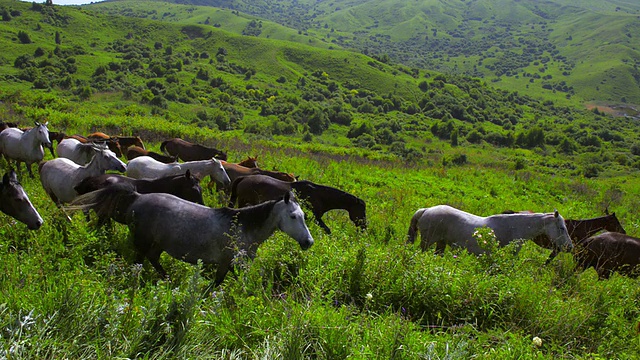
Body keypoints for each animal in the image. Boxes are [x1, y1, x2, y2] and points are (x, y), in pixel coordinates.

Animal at [67, 186, 312, 284]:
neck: (243, 228)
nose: (308, 242)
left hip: (158, 244)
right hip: (142, 241)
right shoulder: (226, 262)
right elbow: (216, 284)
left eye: (304, 216)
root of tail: (136, 197)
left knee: (153, 260)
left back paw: (168, 281)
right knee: (138, 262)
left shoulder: (236, 264)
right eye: (293, 216)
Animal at [230, 174, 364, 233]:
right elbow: (327, 230)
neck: (319, 195)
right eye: (362, 210)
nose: (364, 226)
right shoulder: (315, 217)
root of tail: (243, 178)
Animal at [408, 205, 572, 256]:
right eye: (562, 228)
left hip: (440, 243)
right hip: (427, 242)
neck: (515, 228)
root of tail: (426, 210)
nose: (570, 247)